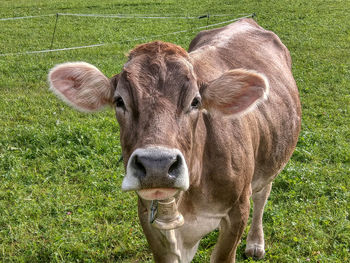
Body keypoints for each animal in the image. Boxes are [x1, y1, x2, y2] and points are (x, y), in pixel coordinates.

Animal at [48, 19, 300, 263]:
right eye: (119, 101)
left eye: (195, 101)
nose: (157, 165)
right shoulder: (148, 216)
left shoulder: (238, 210)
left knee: (262, 195)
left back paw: (255, 243)